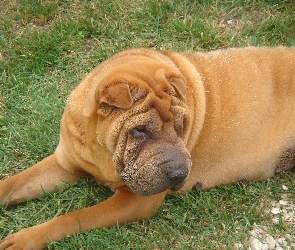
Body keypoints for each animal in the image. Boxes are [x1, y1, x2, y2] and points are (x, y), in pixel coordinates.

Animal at [0, 46, 295, 248]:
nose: (180, 174)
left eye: (181, 124)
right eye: (139, 130)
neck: (103, 152)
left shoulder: (136, 200)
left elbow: (76, 216)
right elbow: (13, 183)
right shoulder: (64, 164)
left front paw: (26, 238)